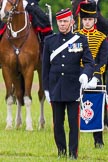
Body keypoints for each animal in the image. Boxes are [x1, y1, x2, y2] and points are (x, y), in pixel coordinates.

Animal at [0, 0, 45, 130]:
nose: (4, 14)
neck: (17, 36)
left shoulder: (28, 69)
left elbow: (28, 98)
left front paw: (29, 126)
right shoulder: (7, 69)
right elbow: (10, 97)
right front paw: (9, 125)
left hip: (41, 70)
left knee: (41, 94)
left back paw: (41, 123)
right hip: (16, 73)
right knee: (19, 94)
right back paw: (18, 122)